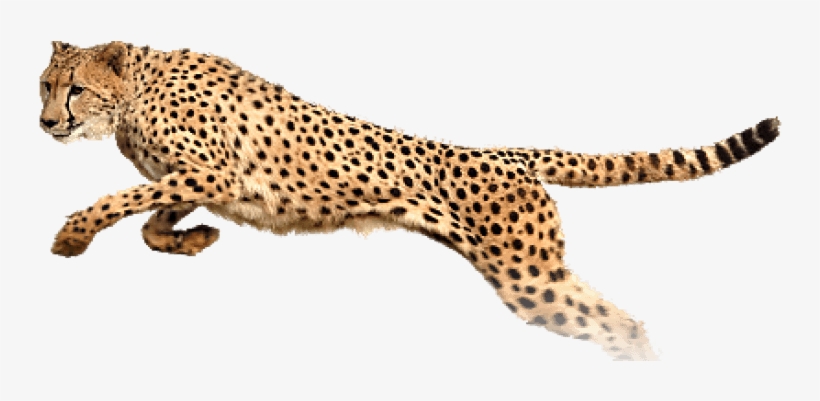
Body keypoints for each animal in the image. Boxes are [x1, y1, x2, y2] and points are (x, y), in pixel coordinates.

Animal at [39, 41, 780, 361]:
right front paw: (194, 240)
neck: (134, 87)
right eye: (43, 85)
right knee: (618, 324)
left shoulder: (219, 175)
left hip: (529, 277)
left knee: (619, 325)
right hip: (536, 274)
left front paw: (73, 235)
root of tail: (507, 153)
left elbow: (124, 199)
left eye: (72, 89)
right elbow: (151, 217)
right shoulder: (201, 181)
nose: (46, 123)